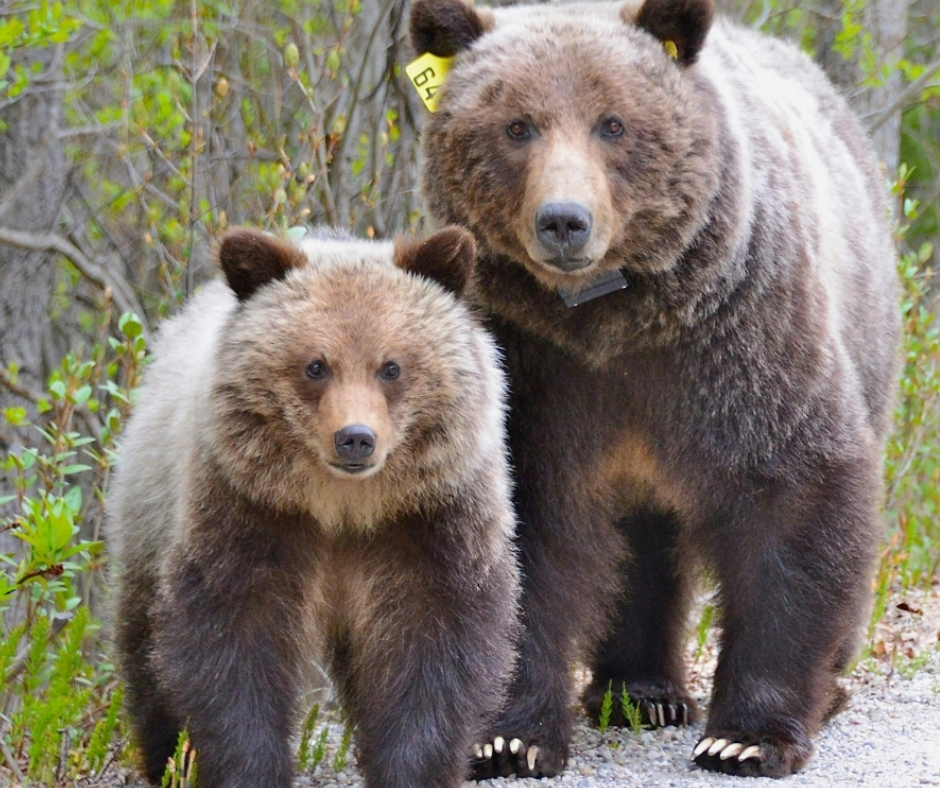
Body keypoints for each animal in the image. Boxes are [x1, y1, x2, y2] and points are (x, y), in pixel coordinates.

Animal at [108, 226, 521, 788]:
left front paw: (413, 767)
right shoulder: (251, 509)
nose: (356, 438)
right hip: (149, 507)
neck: (343, 505)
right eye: (316, 365)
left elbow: (432, 641)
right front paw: (249, 768)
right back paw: (166, 757)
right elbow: (232, 639)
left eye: (391, 366)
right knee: (145, 644)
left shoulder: (429, 517)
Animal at [409, 0, 900, 779]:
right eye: (517, 125)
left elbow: (794, 492)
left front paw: (745, 737)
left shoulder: (739, 338)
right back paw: (639, 691)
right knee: (642, 539)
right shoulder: (534, 366)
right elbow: (524, 527)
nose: (564, 220)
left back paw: (824, 689)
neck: (613, 320)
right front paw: (508, 738)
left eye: (613, 123)